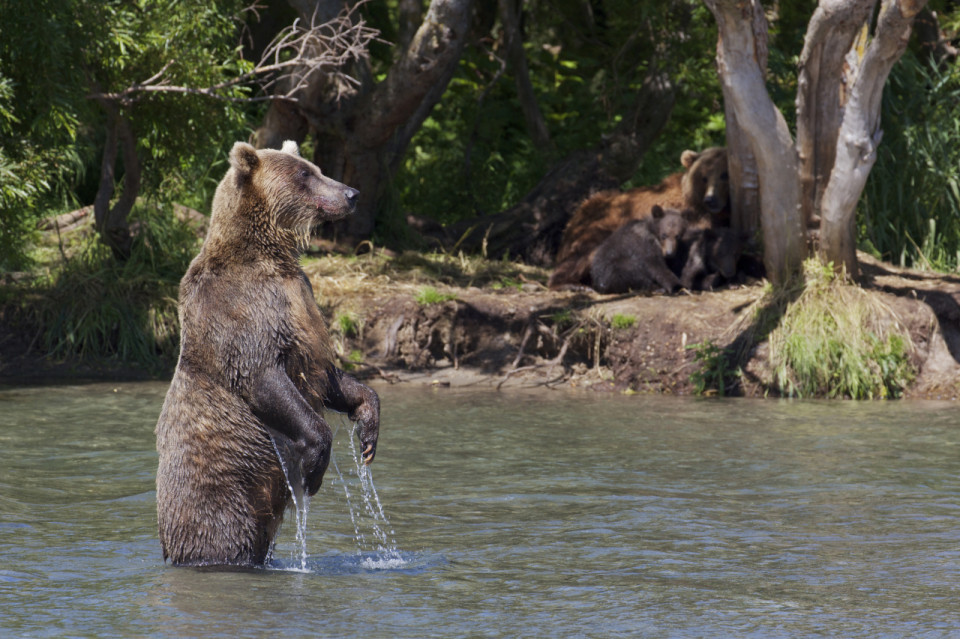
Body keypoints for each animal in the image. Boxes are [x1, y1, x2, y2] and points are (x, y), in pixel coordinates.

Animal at [155, 141, 378, 568]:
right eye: (305, 174)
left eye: (315, 167)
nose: (352, 193)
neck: (266, 251)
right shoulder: (241, 310)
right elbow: (261, 375)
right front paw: (313, 469)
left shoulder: (301, 303)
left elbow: (324, 372)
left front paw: (368, 426)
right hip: (223, 492)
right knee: (225, 537)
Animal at [548, 146, 728, 288]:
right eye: (704, 177)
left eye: (724, 175)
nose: (710, 199)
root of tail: (576, 215)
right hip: (598, 227)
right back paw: (572, 284)